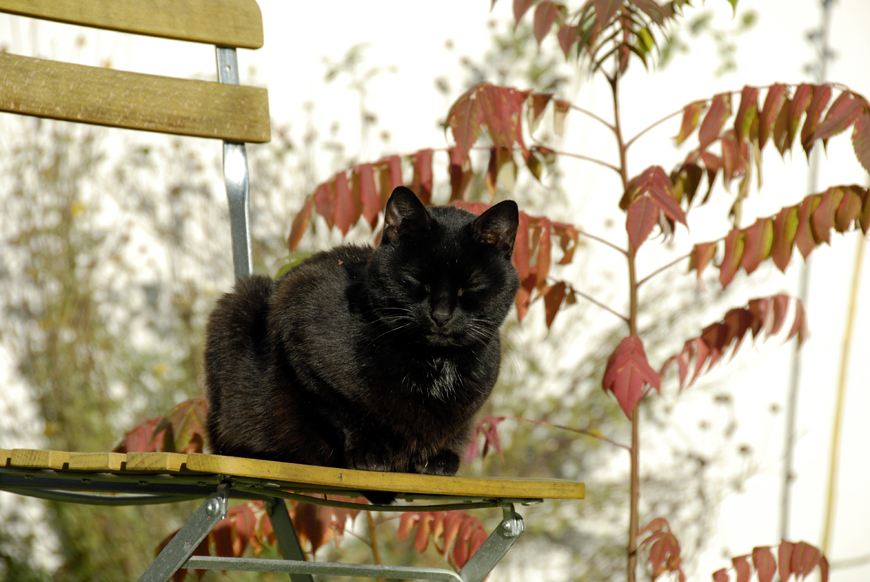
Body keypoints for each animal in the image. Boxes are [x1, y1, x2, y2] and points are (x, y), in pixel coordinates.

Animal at [204, 188, 516, 502]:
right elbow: (346, 412)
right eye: (416, 280)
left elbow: (455, 428)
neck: (435, 361)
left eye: (472, 287)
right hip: (242, 301)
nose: (441, 315)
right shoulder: (300, 328)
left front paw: (438, 459)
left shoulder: (471, 404)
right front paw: (371, 454)